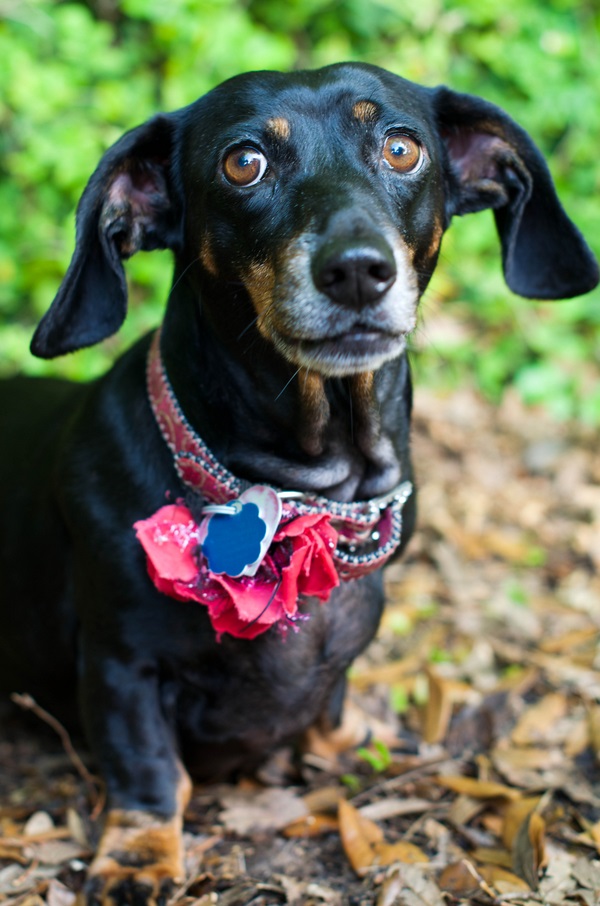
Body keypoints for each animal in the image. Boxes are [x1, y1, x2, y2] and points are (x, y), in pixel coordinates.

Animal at [1, 63, 598, 905]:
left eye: (403, 147)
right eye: (242, 163)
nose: (357, 271)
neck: (310, 489)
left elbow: (332, 698)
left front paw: (346, 739)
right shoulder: (120, 666)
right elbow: (149, 770)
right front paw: (140, 854)